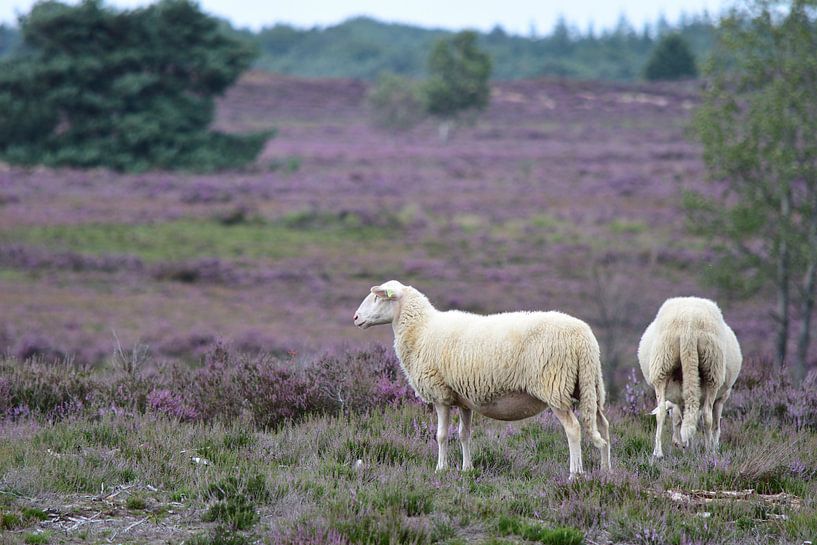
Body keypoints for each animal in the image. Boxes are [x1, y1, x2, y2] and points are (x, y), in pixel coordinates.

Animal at [353, 280, 611, 476]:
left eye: (377, 297)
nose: (355, 318)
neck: (421, 329)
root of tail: (583, 339)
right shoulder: (463, 398)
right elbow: (464, 435)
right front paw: (467, 468)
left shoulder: (440, 394)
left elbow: (441, 435)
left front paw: (441, 469)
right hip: (590, 385)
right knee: (603, 425)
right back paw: (606, 470)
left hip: (555, 386)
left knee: (573, 429)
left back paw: (575, 474)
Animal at [637, 297, 742, 458]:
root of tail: (689, 325)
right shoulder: (721, 398)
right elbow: (716, 425)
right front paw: (711, 448)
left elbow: (683, 419)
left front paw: (686, 446)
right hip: (713, 369)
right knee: (707, 416)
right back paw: (708, 452)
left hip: (663, 364)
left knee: (662, 412)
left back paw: (658, 452)